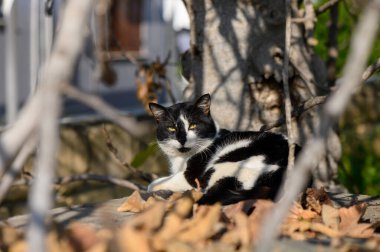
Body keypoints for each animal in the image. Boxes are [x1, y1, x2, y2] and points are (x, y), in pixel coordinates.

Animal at [147, 93, 298, 204]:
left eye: (193, 126)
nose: (182, 139)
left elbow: (159, 183)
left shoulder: (192, 177)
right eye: (171, 128)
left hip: (223, 168)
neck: (182, 158)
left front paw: (154, 185)